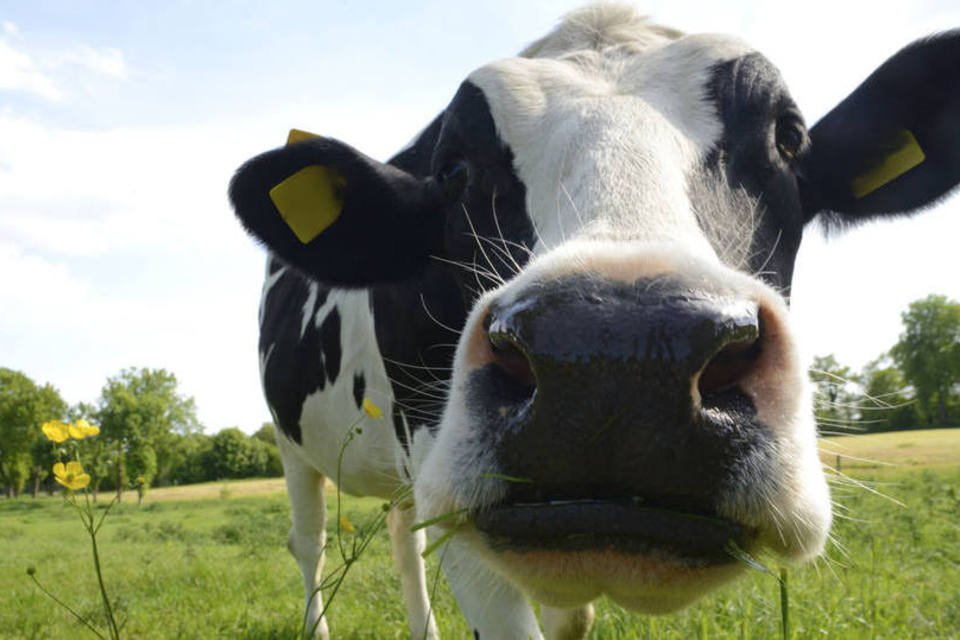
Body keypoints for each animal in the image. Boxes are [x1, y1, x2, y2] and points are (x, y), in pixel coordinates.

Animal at [231, 5, 960, 640]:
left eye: (787, 138)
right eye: (453, 169)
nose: (618, 357)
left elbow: (570, 618)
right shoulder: (448, 489)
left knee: (397, 532)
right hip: (291, 443)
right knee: (310, 543)